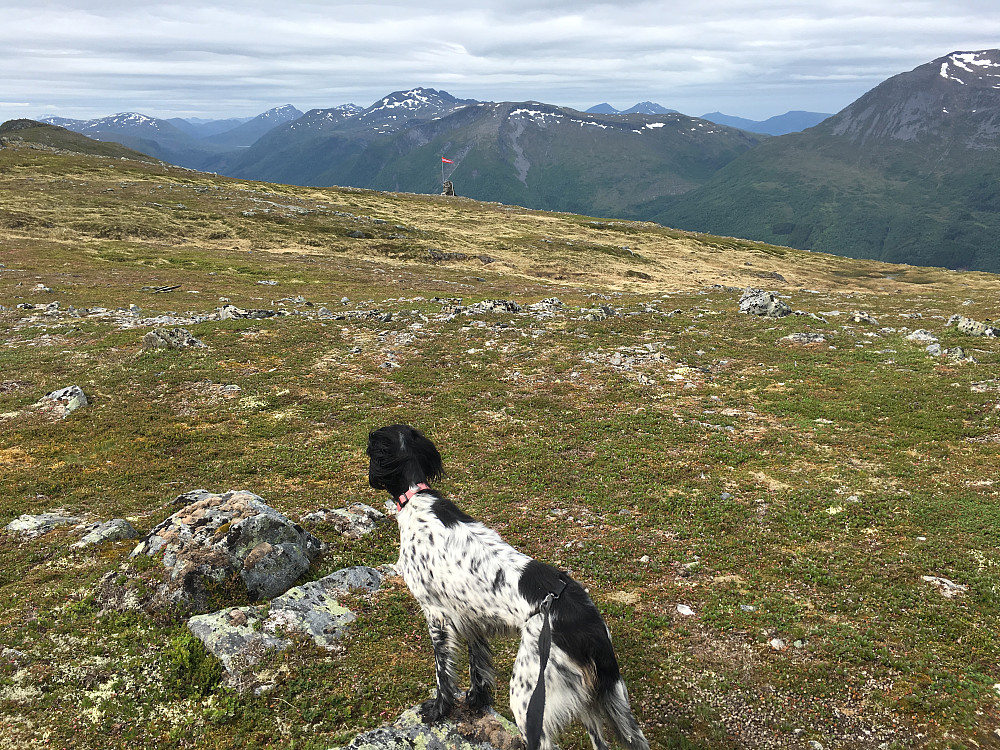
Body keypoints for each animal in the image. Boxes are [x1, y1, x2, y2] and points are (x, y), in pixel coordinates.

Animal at [368, 426, 648, 748]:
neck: (417, 495)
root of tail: (590, 629)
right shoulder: (470, 618)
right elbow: (478, 667)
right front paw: (476, 701)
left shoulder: (436, 615)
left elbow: (443, 673)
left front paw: (439, 709)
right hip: (606, 703)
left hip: (528, 697)